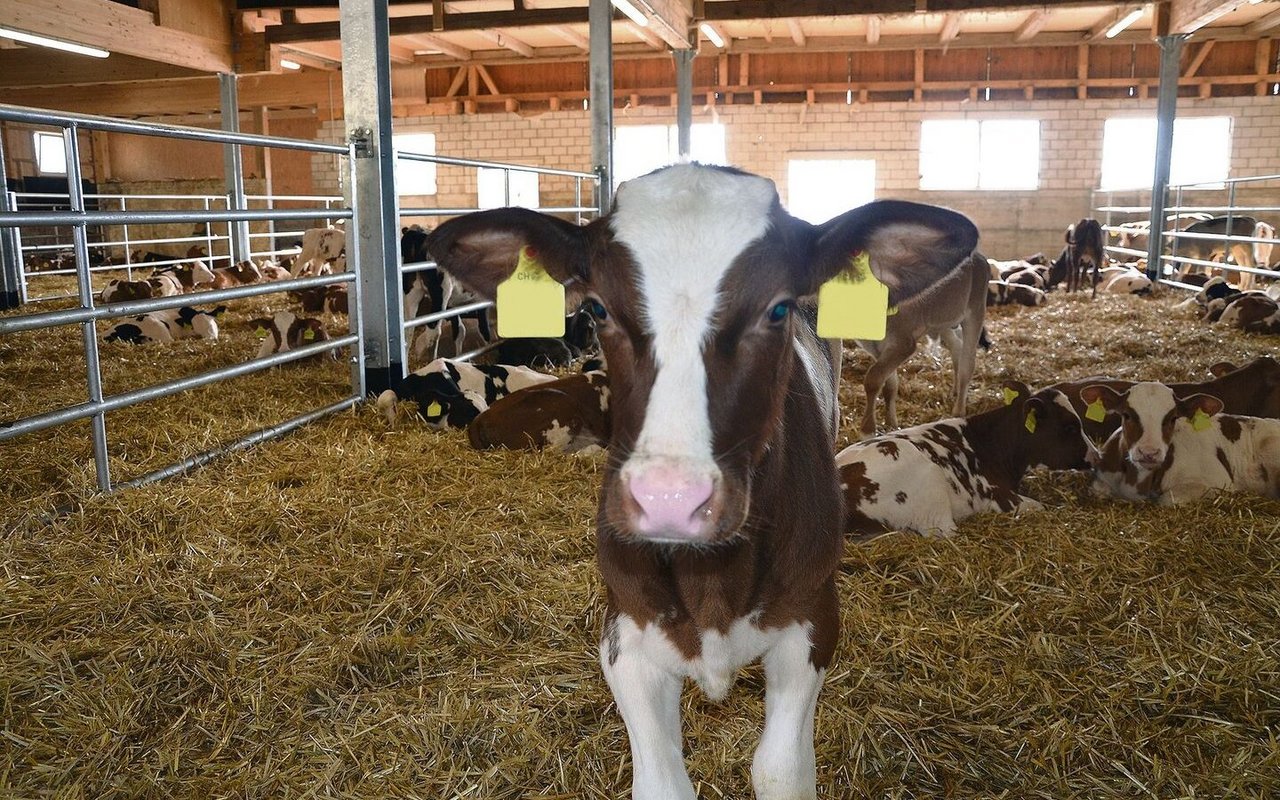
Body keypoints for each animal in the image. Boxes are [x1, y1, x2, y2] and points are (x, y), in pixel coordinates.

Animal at [424, 163, 972, 798]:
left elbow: (782, 770)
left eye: (779, 309)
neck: (711, 577)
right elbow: (663, 783)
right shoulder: (625, 632)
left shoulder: (813, 618)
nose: (670, 499)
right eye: (598, 309)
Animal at [1085, 381, 1280, 504]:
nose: (1149, 453)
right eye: (1127, 415)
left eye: (1173, 418)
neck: (1136, 482)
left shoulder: (1217, 482)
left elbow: (1166, 500)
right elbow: (1098, 489)